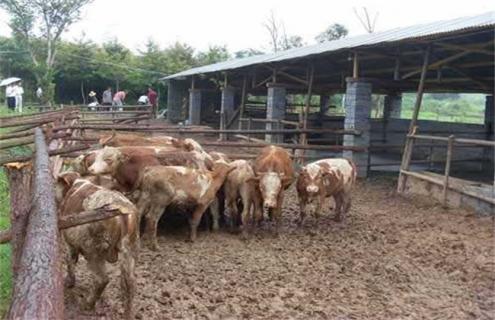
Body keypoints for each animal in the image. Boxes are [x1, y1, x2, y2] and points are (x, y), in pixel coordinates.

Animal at [55, 171, 139, 318]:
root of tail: (121, 210)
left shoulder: (69, 242)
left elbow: (70, 260)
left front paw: (68, 283)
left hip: (94, 250)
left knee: (102, 279)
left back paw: (86, 305)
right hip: (130, 248)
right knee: (130, 283)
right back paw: (128, 315)